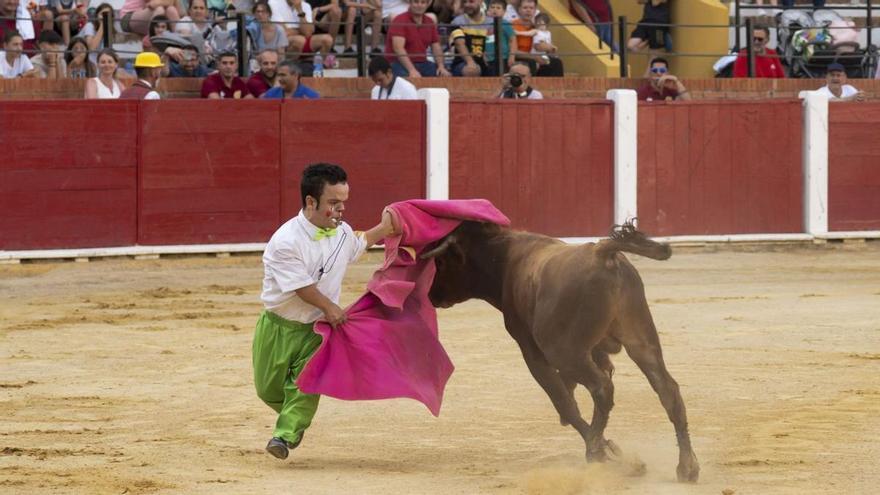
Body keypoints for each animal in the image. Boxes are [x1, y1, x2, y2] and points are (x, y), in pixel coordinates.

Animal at [422, 219, 700, 482]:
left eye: (440, 262)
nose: (431, 295)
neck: (505, 260)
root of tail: (602, 252)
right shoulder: (595, 351)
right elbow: (572, 391)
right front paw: (613, 449)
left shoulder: (531, 349)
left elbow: (563, 402)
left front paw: (608, 450)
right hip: (640, 339)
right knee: (667, 389)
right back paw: (687, 467)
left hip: (564, 353)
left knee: (601, 389)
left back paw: (595, 452)